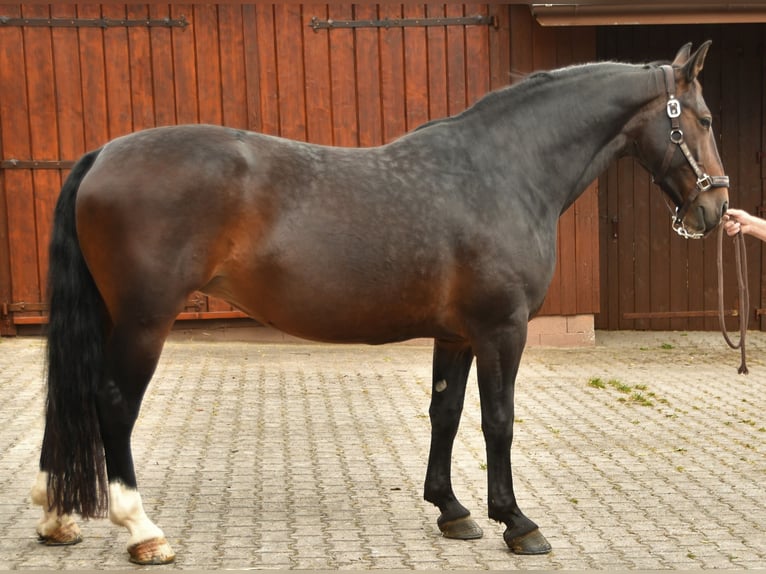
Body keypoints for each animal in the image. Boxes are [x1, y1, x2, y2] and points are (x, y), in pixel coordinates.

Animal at [31, 42, 729, 564]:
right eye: (704, 119)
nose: (715, 209)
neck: (503, 171)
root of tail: (102, 155)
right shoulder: (502, 330)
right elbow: (498, 421)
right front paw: (517, 522)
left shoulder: (458, 334)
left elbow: (445, 413)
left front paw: (452, 510)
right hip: (144, 320)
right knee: (112, 404)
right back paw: (142, 530)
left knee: (71, 396)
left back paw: (57, 517)